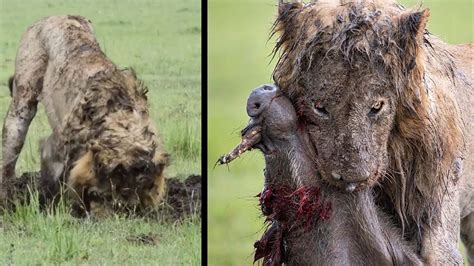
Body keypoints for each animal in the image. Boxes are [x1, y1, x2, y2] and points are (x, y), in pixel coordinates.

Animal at [0, 15, 168, 216]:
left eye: (132, 203)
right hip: (24, 94)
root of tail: (51, 17)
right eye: (102, 195)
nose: (116, 216)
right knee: (10, 149)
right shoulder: (64, 146)